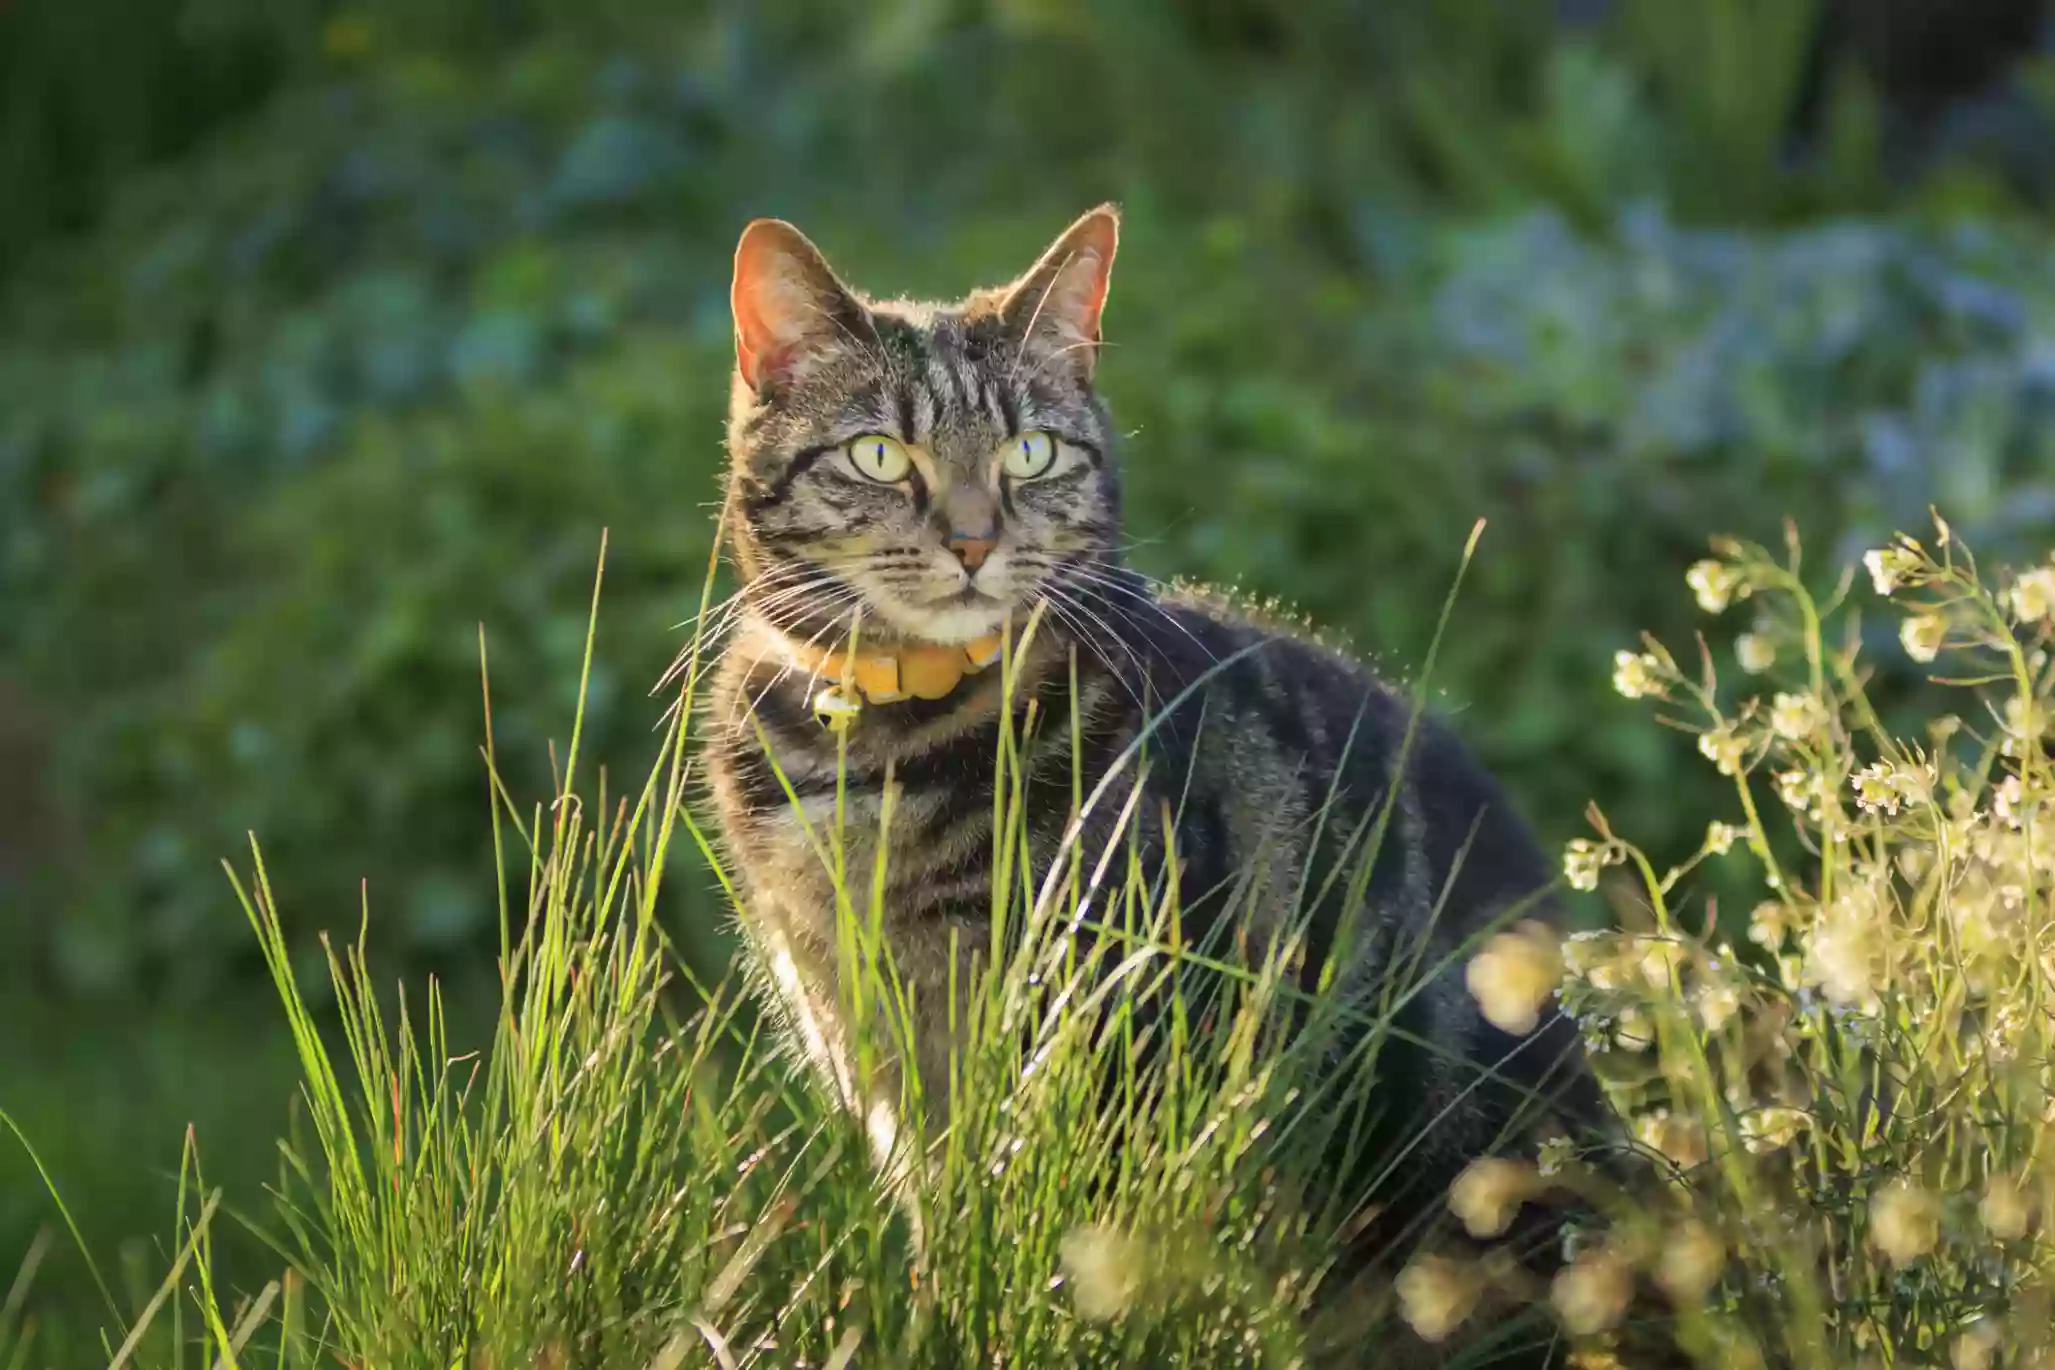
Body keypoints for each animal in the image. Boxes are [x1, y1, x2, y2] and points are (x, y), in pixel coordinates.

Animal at [702, 203, 1586, 1363]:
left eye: (1032, 452)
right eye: (879, 453)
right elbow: (942, 1227)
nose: (974, 540)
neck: (879, 750)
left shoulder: (1103, 1031)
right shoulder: (865, 1042)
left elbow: (1056, 1246)